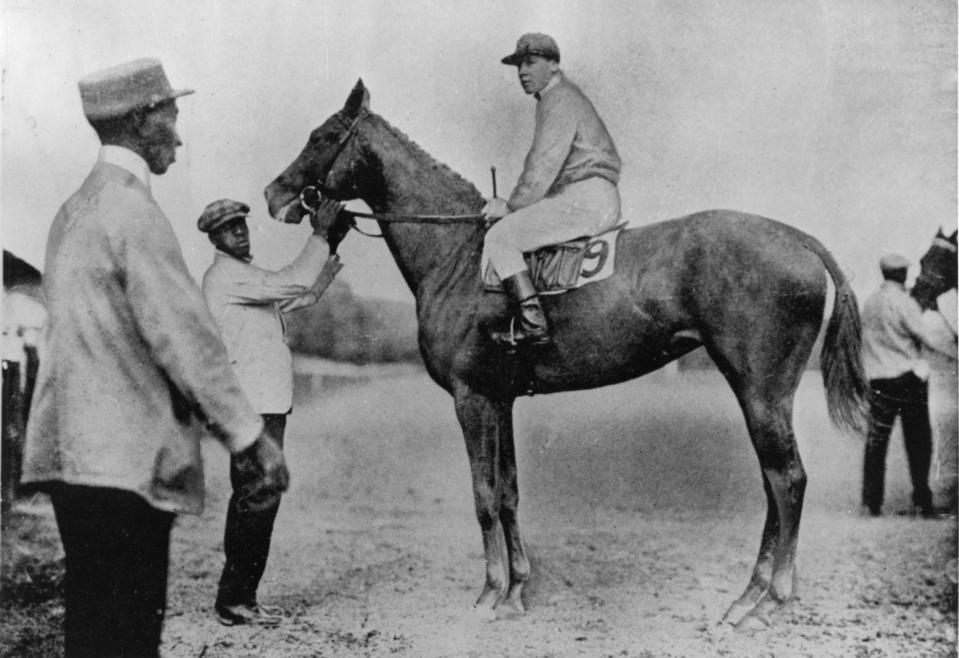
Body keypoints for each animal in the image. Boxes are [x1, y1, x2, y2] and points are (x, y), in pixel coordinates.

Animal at [264, 79, 872, 628]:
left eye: (323, 136)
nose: (273, 195)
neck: (459, 257)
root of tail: (798, 239)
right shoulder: (500, 400)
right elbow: (508, 493)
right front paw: (517, 590)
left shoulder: (471, 398)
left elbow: (483, 495)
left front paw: (490, 593)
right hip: (761, 393)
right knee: (775, 483)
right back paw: (749, 595)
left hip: (761, 391)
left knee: (787, 480)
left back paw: (769, 599)